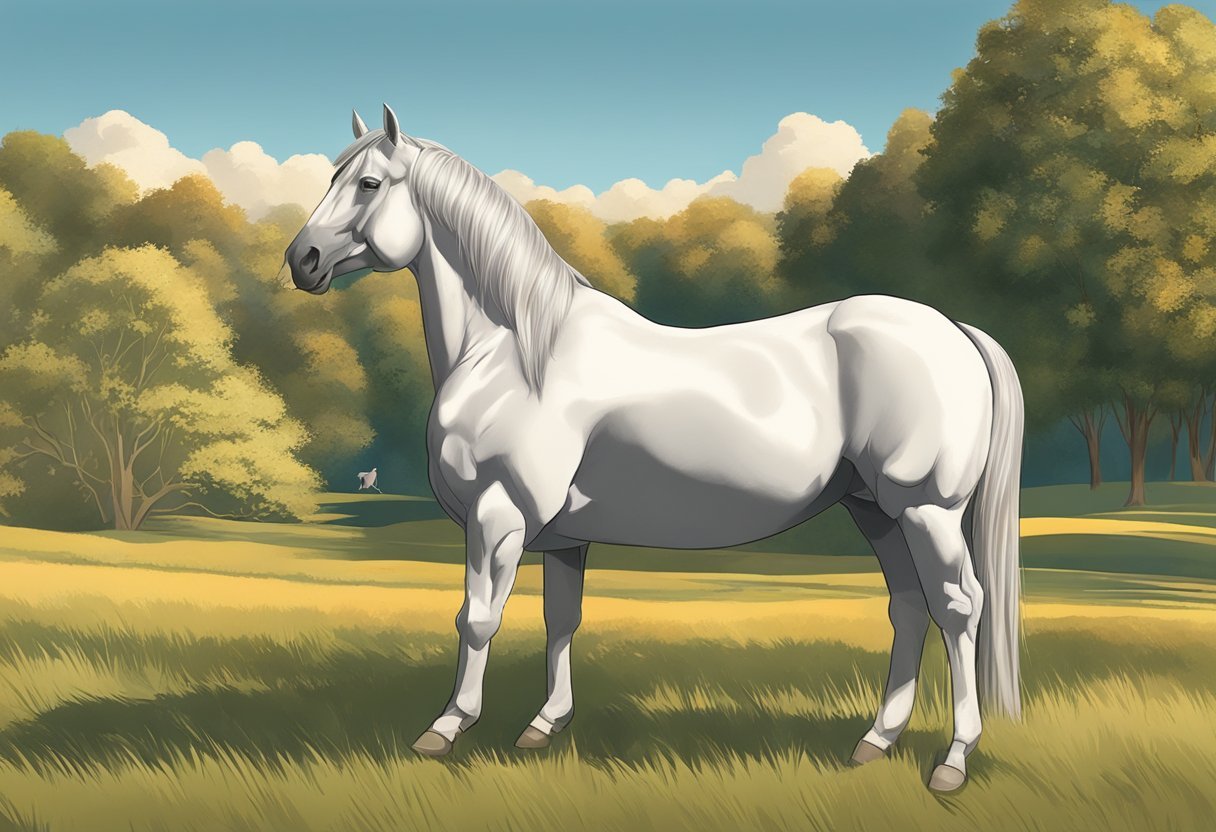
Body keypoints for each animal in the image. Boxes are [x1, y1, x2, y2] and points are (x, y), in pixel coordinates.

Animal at [286, 105, 1024, 793]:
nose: (302, 260)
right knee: (909, 608)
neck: (513, 350)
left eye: (368, 183)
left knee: (958, 608)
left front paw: (446, 728)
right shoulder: (561, 537)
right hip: (875, 510)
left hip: (927, 510)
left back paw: (952, 760)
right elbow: (561, 619)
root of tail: (953, 329)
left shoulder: (499, 515)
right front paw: (544, 725)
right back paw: (875, 741)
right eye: (332, 178)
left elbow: (477, 618)